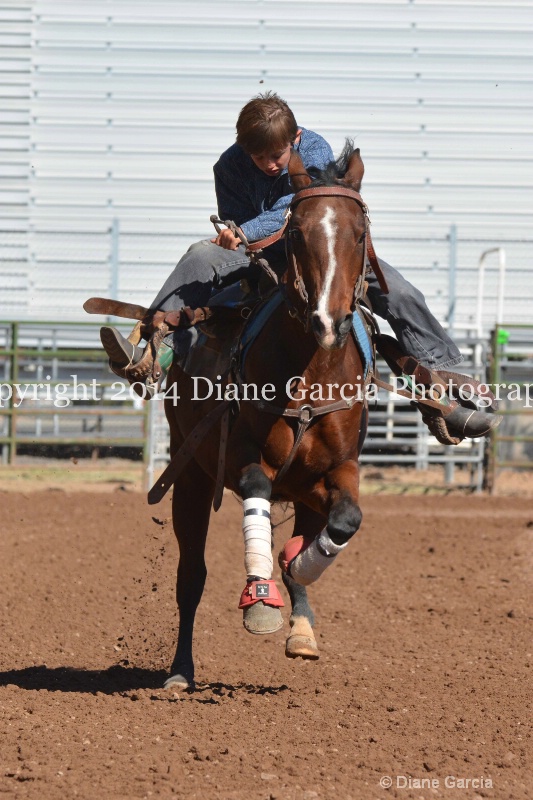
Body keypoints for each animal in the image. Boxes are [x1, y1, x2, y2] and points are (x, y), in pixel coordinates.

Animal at [160, 142, 372, 688]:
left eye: (359, 233)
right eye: (296, 232)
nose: (327, 321)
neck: (311, 369)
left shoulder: (337, 468)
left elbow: (347, 518)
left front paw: (298, 571)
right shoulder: (238, 456)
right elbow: (255, 487)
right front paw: (260, 601)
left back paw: (302, 625)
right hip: (191, 474)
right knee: (190, 577)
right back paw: (180, 670)